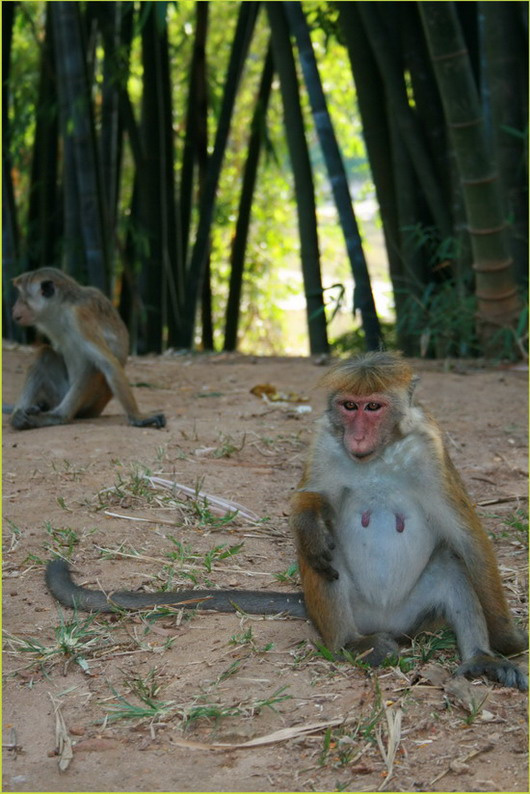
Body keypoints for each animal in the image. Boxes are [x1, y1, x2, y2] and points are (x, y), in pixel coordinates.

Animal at [9, 268, 166, 430]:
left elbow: (108, 364)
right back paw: (20, 415)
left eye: (22, 298)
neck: (62, 306)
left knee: (92, 367)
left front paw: (137, 417)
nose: (14, 308)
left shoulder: (80, 317)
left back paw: (57, 416)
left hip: (90, 402)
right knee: (45, 354)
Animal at [43, 352, 527, 689]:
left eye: (372, 408)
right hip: (348, 611)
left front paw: (505, 642)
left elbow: (467, 538)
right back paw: (351, 645)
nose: (356, 435)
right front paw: (309, 519)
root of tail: (384, 623)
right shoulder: (324, 443)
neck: (377, 455)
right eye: (348, 406)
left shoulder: (431, 449)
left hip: (415, 613)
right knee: (323, 561)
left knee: (450, 564)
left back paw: (479, 659)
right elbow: (310, 502)